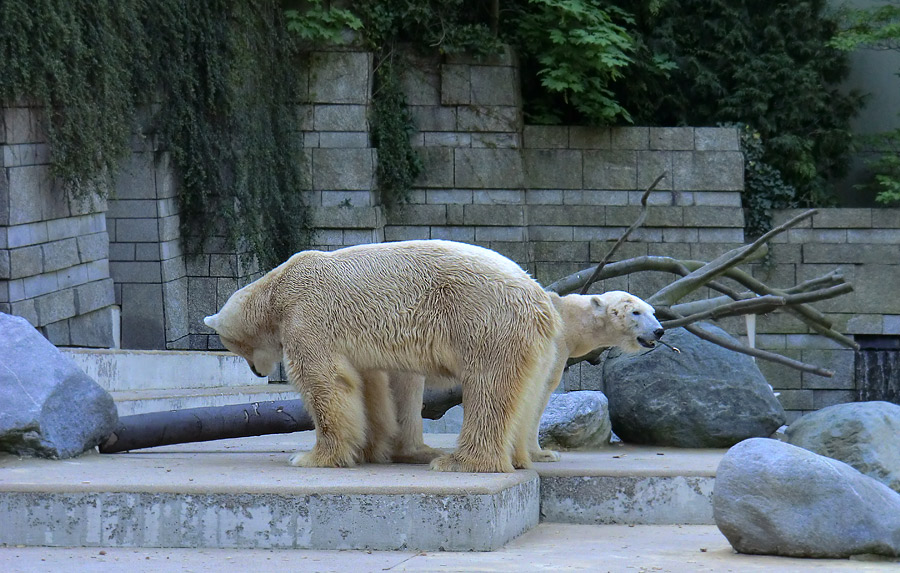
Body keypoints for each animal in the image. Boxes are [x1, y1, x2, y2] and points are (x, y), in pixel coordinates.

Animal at [202, 239, 564, 472]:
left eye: (233, 346)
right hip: (535, 345)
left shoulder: (308, 315)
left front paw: (313, 457)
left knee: (488, 386)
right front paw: (369, 449)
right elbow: (369, 386)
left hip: (485, 318)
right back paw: (516, 457)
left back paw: (460, 462)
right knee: (525, 393)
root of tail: (540, 299)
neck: (278, 287)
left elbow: (324, 382)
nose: (257, 372)